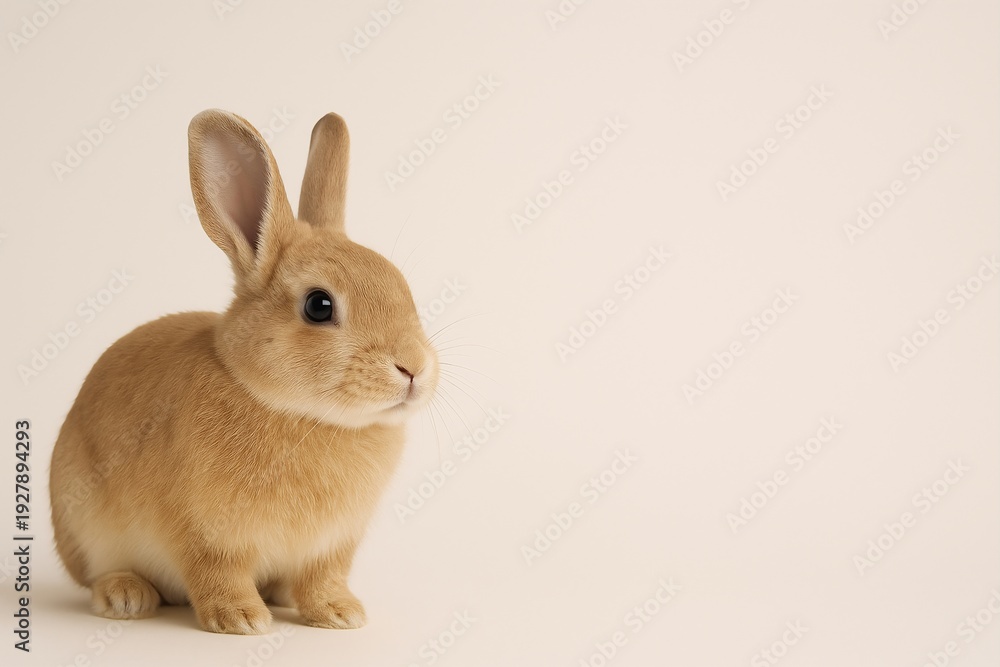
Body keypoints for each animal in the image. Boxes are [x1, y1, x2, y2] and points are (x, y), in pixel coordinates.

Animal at [49, 109, 438, 634]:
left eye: (402, 285)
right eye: (319, 305)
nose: (414, 368)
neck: (297, 412)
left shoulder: (333, 547)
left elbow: (323, 578)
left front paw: (340, 613)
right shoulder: (204, 534)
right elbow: (218, 572)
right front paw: (241, 619)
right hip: (84, 526)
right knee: (96, 575)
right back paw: (127, 596)